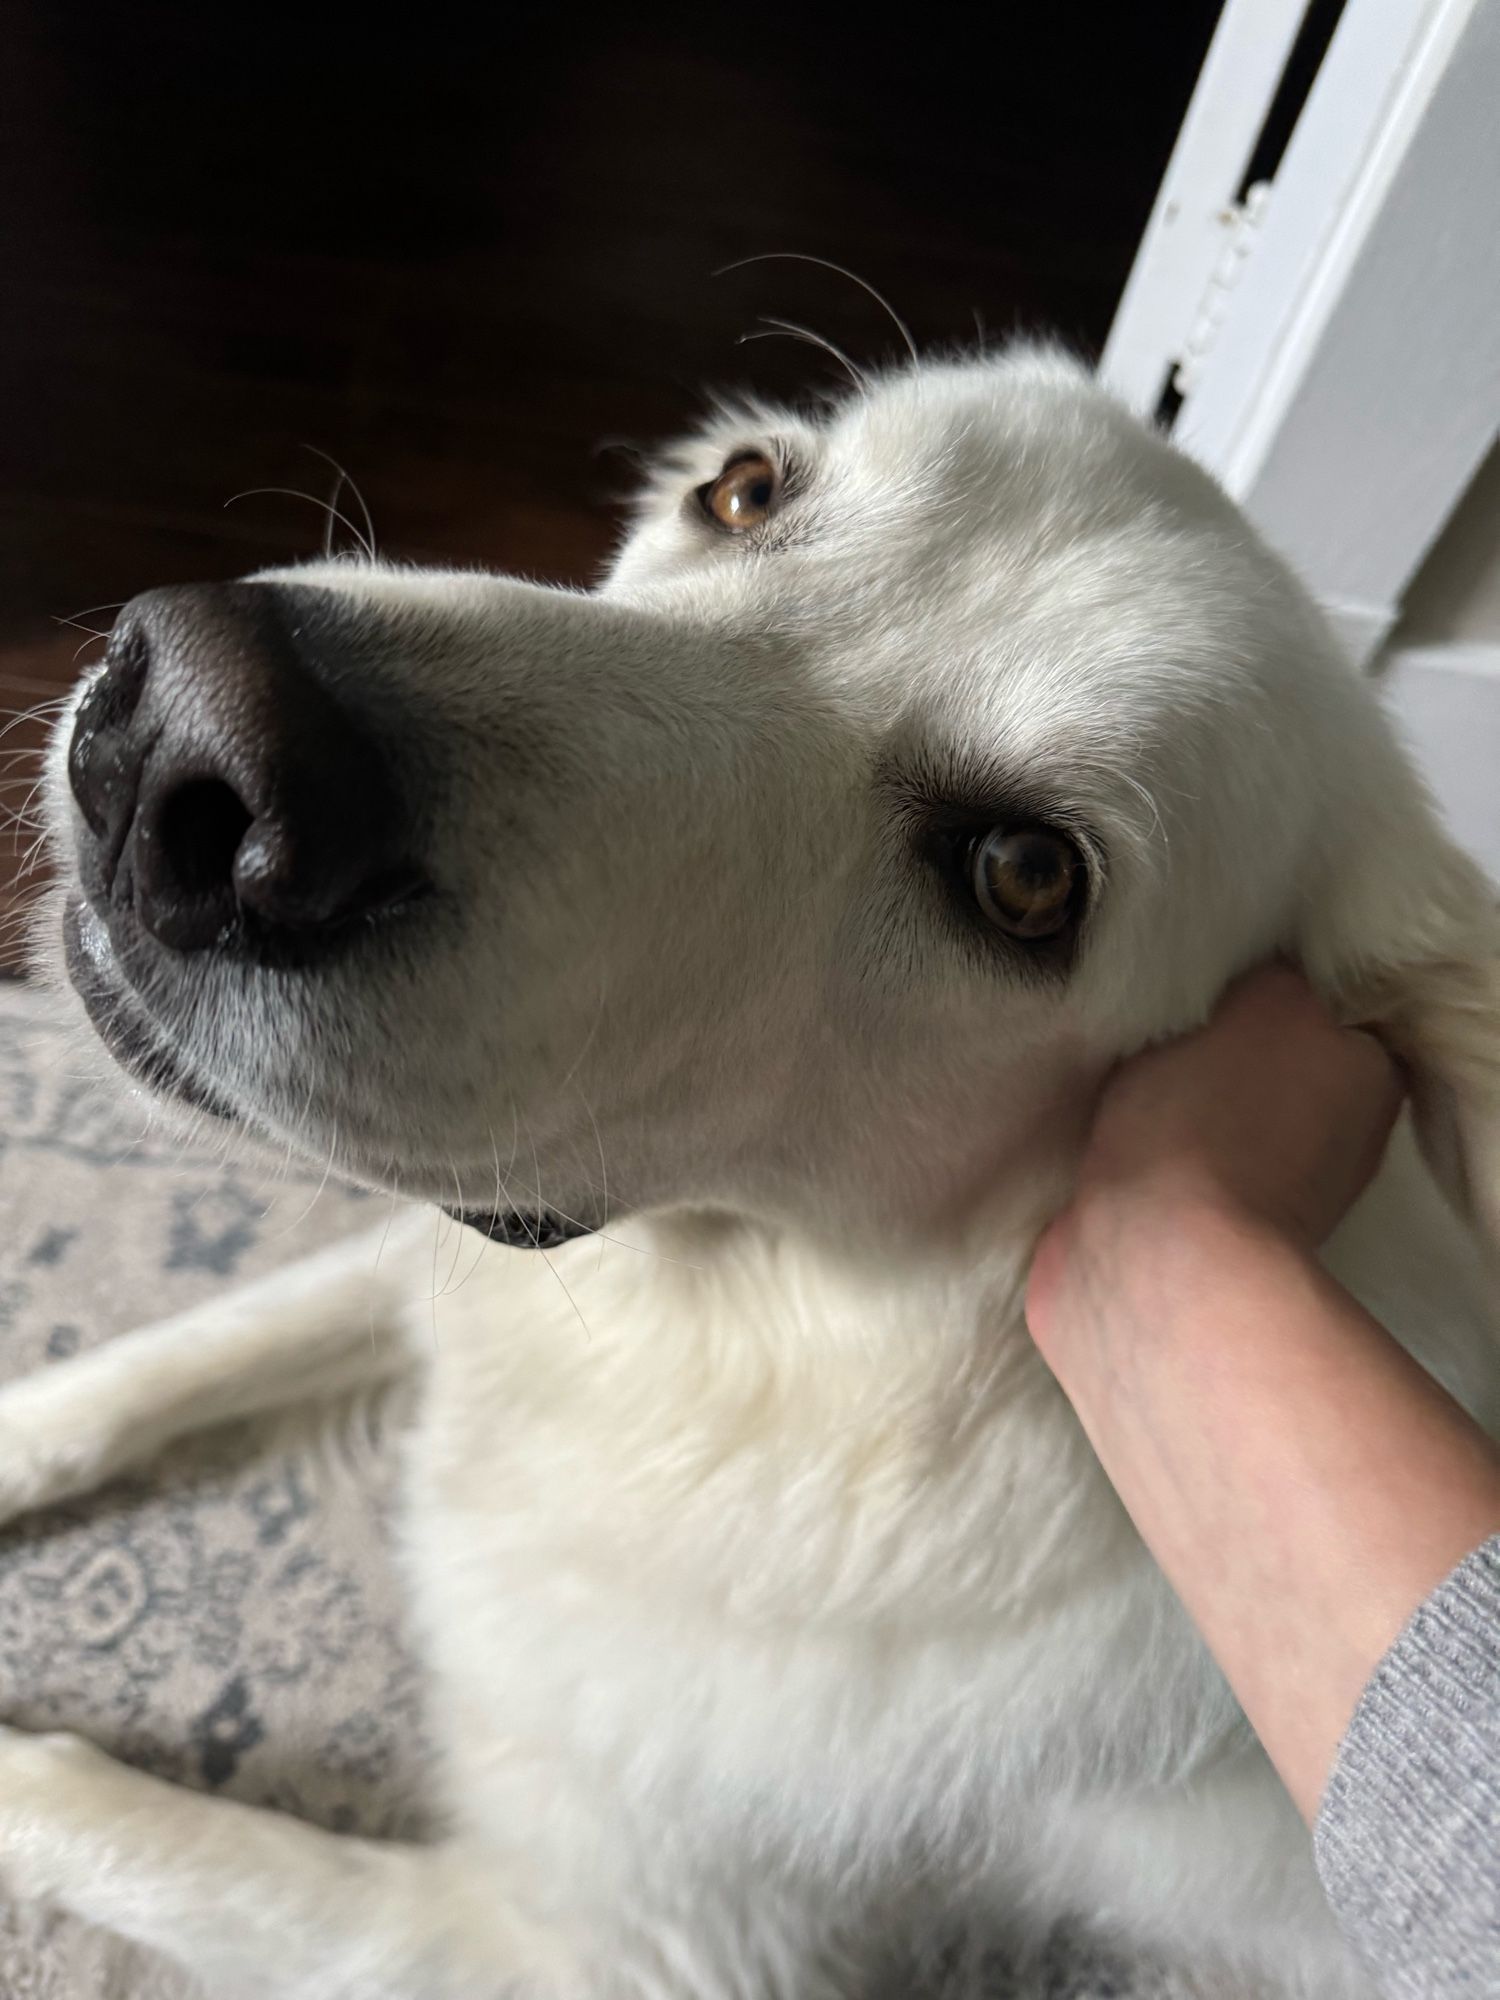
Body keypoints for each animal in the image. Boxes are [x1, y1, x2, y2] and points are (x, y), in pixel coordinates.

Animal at [2, 352, 1500, 1992]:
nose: (186, 740)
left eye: (1023, 878)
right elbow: (174, 1354)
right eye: (742, 491)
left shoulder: (594, 1952)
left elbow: (126, 1822)